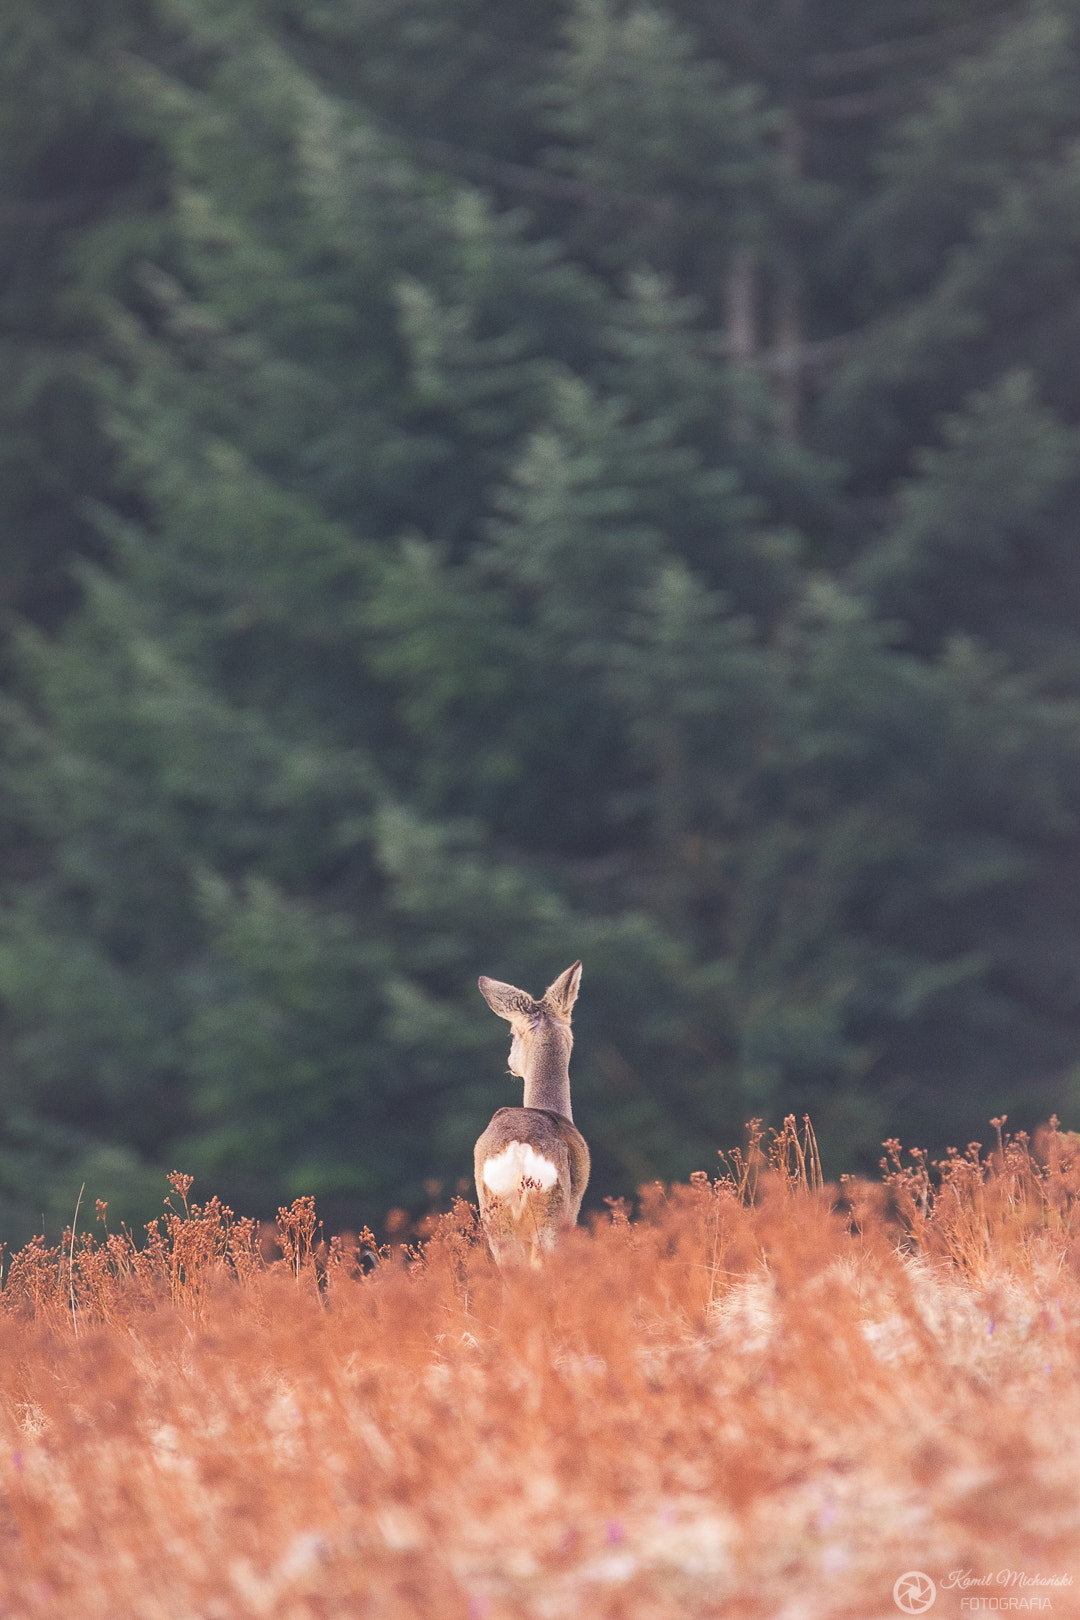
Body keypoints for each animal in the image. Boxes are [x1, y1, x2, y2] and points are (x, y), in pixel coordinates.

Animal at [473, 960, 590, 1266]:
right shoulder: (574, 1208)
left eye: (512, 1033)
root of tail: (518, 1148)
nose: (511, 1061)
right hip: (552, 1211)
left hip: (495, 1215)